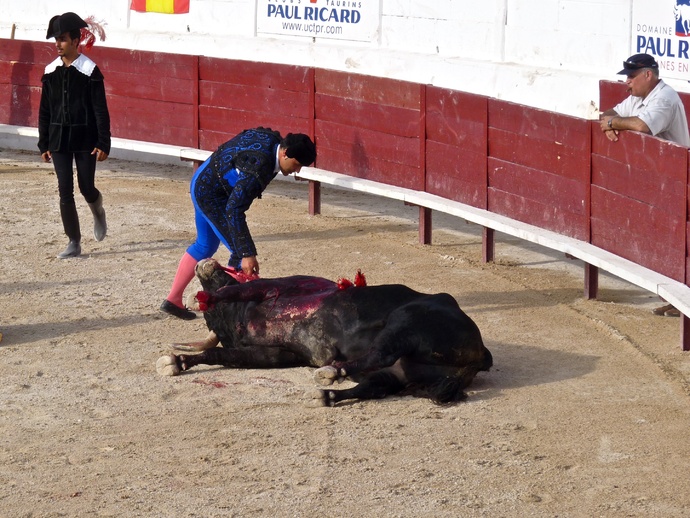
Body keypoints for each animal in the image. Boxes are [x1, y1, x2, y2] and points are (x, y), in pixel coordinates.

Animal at [156, 258, 493, 406]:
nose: (204, 265)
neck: (239, 317)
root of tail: (480, 355)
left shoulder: (275, 286)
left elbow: (239, 290)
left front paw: (196, 298)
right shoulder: (276, 354)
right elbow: (220, 353)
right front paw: (177, 362)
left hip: (406, 321)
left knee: (381, 352)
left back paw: (330, 373)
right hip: (401, 374)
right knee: (376, 383)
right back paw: (326, 394)